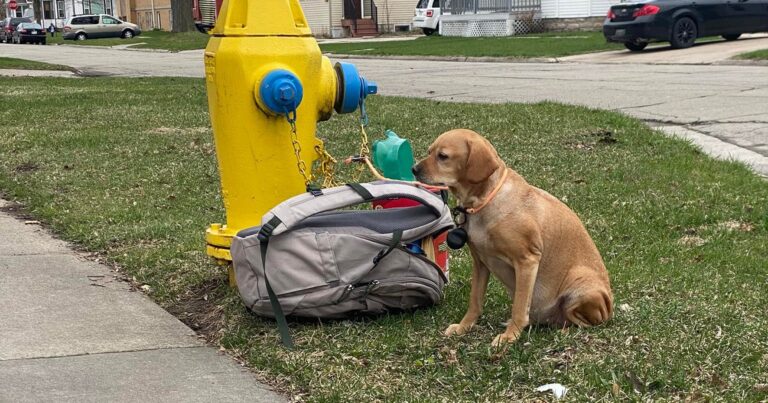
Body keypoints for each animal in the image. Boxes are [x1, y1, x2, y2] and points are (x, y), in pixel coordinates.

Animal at [414, 129, 612, 348]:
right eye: (430, 151)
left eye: (443, 156)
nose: (414, 169)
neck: (484, 201)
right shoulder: (480, 263)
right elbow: (475, 301)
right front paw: (464, 327)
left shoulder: (527, 260)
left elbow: (519, 307)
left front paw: (510, 336)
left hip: (581, 285)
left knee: (584, 322)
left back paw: (564, 331)